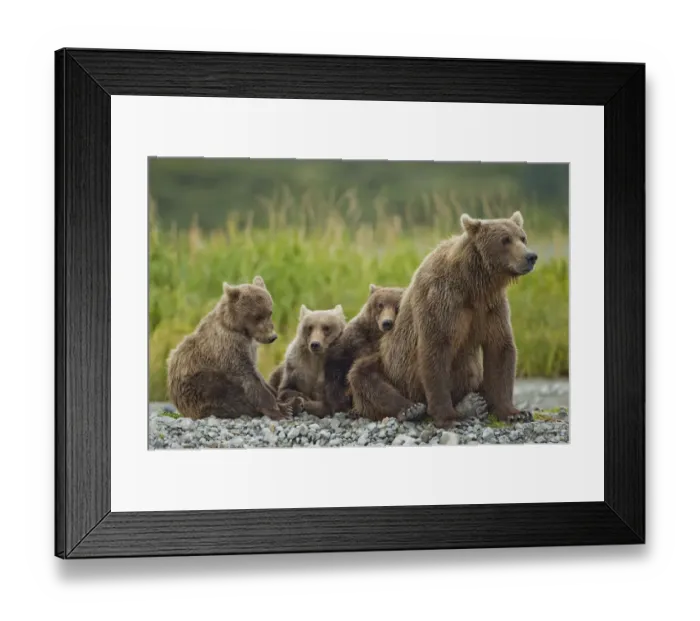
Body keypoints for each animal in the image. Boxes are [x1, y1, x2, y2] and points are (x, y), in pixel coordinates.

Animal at [167, 275, 299, 421]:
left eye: (270, 312)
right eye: (257, 316)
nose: (272, 337)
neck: (237, 329)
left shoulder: (250, 347)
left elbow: (258, 375)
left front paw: (279, 398)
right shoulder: (228, 347)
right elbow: (248, 377)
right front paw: (278, 410)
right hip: (198, 387)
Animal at [323, 284, 404, 416]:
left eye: (397, 306)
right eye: (380, 305)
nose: (387, 322)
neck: (375, 335)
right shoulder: (354, 338)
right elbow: (337, 366)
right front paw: (342, 402)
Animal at [348, 211, 538, 427]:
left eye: (522, 237)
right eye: (505, 240)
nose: (531, 256)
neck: (473, 284)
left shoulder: (491, 307)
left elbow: (500, 348)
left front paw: (514, 412)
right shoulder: (441, 301)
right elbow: (436, 350)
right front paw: (450, 417)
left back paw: (473, 402)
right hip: (391, 369)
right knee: (363, 374)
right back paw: (411, 409)